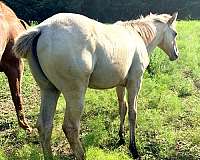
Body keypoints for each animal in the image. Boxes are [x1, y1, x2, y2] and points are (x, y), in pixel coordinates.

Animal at [13, 11, 179, 159]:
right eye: (175, 33)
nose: (176, 55)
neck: (136, 35)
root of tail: (42, 29)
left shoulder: (120, 85)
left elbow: (122, 108)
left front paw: (121, 137)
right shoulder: (135, 82)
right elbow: (133, 113)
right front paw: (133, 148)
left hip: (49, 91)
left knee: (44, 127)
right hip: (75, 95)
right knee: (70, 127)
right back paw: (82, 154)